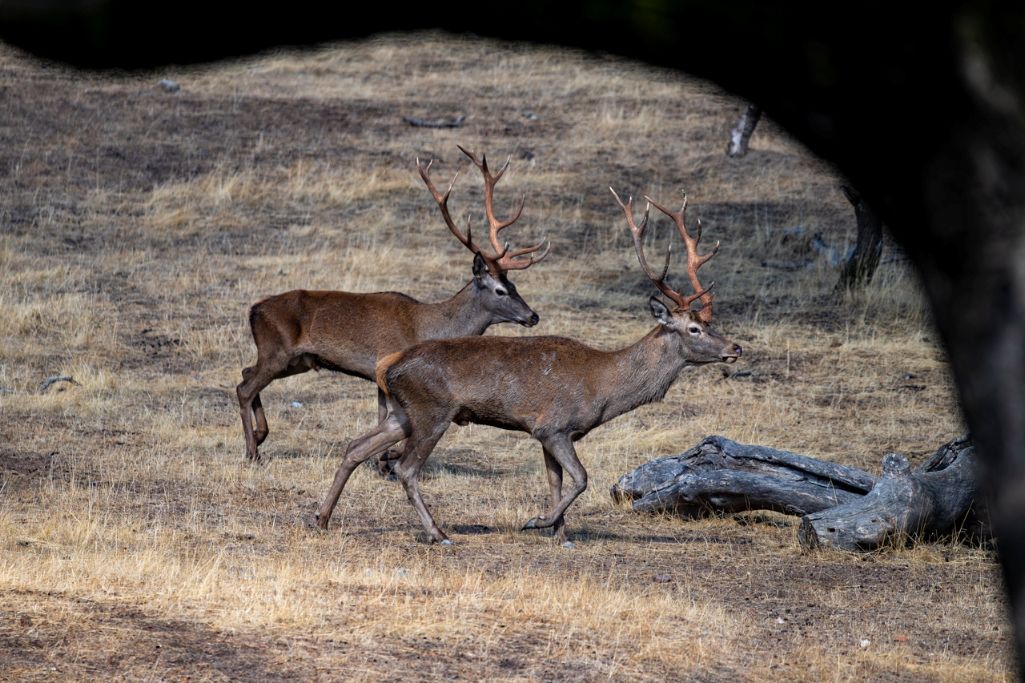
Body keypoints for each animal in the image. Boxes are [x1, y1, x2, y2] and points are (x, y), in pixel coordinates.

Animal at [236, 146, 550, 463]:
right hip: (277, 350)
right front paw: (386, 458)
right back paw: (252, 451)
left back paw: (261, 436)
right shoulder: (386, 359)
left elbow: (382, 415)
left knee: (245, 372)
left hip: (296, 360)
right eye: (500, 290)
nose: (533, 316)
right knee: (244, 387)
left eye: (514, 285)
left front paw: (381, 458)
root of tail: (253, 311)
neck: (430, 327)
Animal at [313, 187, 742, 545]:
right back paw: (438, 533)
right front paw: (538, 521)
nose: (735, 347)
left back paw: (322, 517)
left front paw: (561, 534)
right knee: (405, 468)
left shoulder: (550, 434)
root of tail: (388, 365)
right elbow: (581, 478)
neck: (603, 388)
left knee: (355, 446)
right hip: (432, 410)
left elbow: (556, 482)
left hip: (402, 413)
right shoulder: (554, 425)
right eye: (694, 329)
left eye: (711, 323)